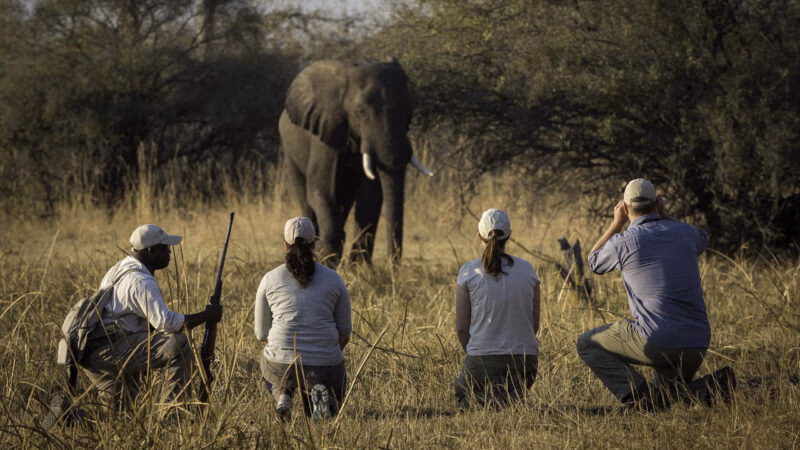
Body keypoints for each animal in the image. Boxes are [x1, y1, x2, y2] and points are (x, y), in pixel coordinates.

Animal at [279, 58, 432, 265]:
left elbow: (371, 196)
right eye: (361, 112)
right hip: (290, 150)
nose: (393, 266)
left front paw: (359, 267)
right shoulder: (325, 135)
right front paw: (326, 257)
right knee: (307, 199)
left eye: (409, 111)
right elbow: (322, 191)